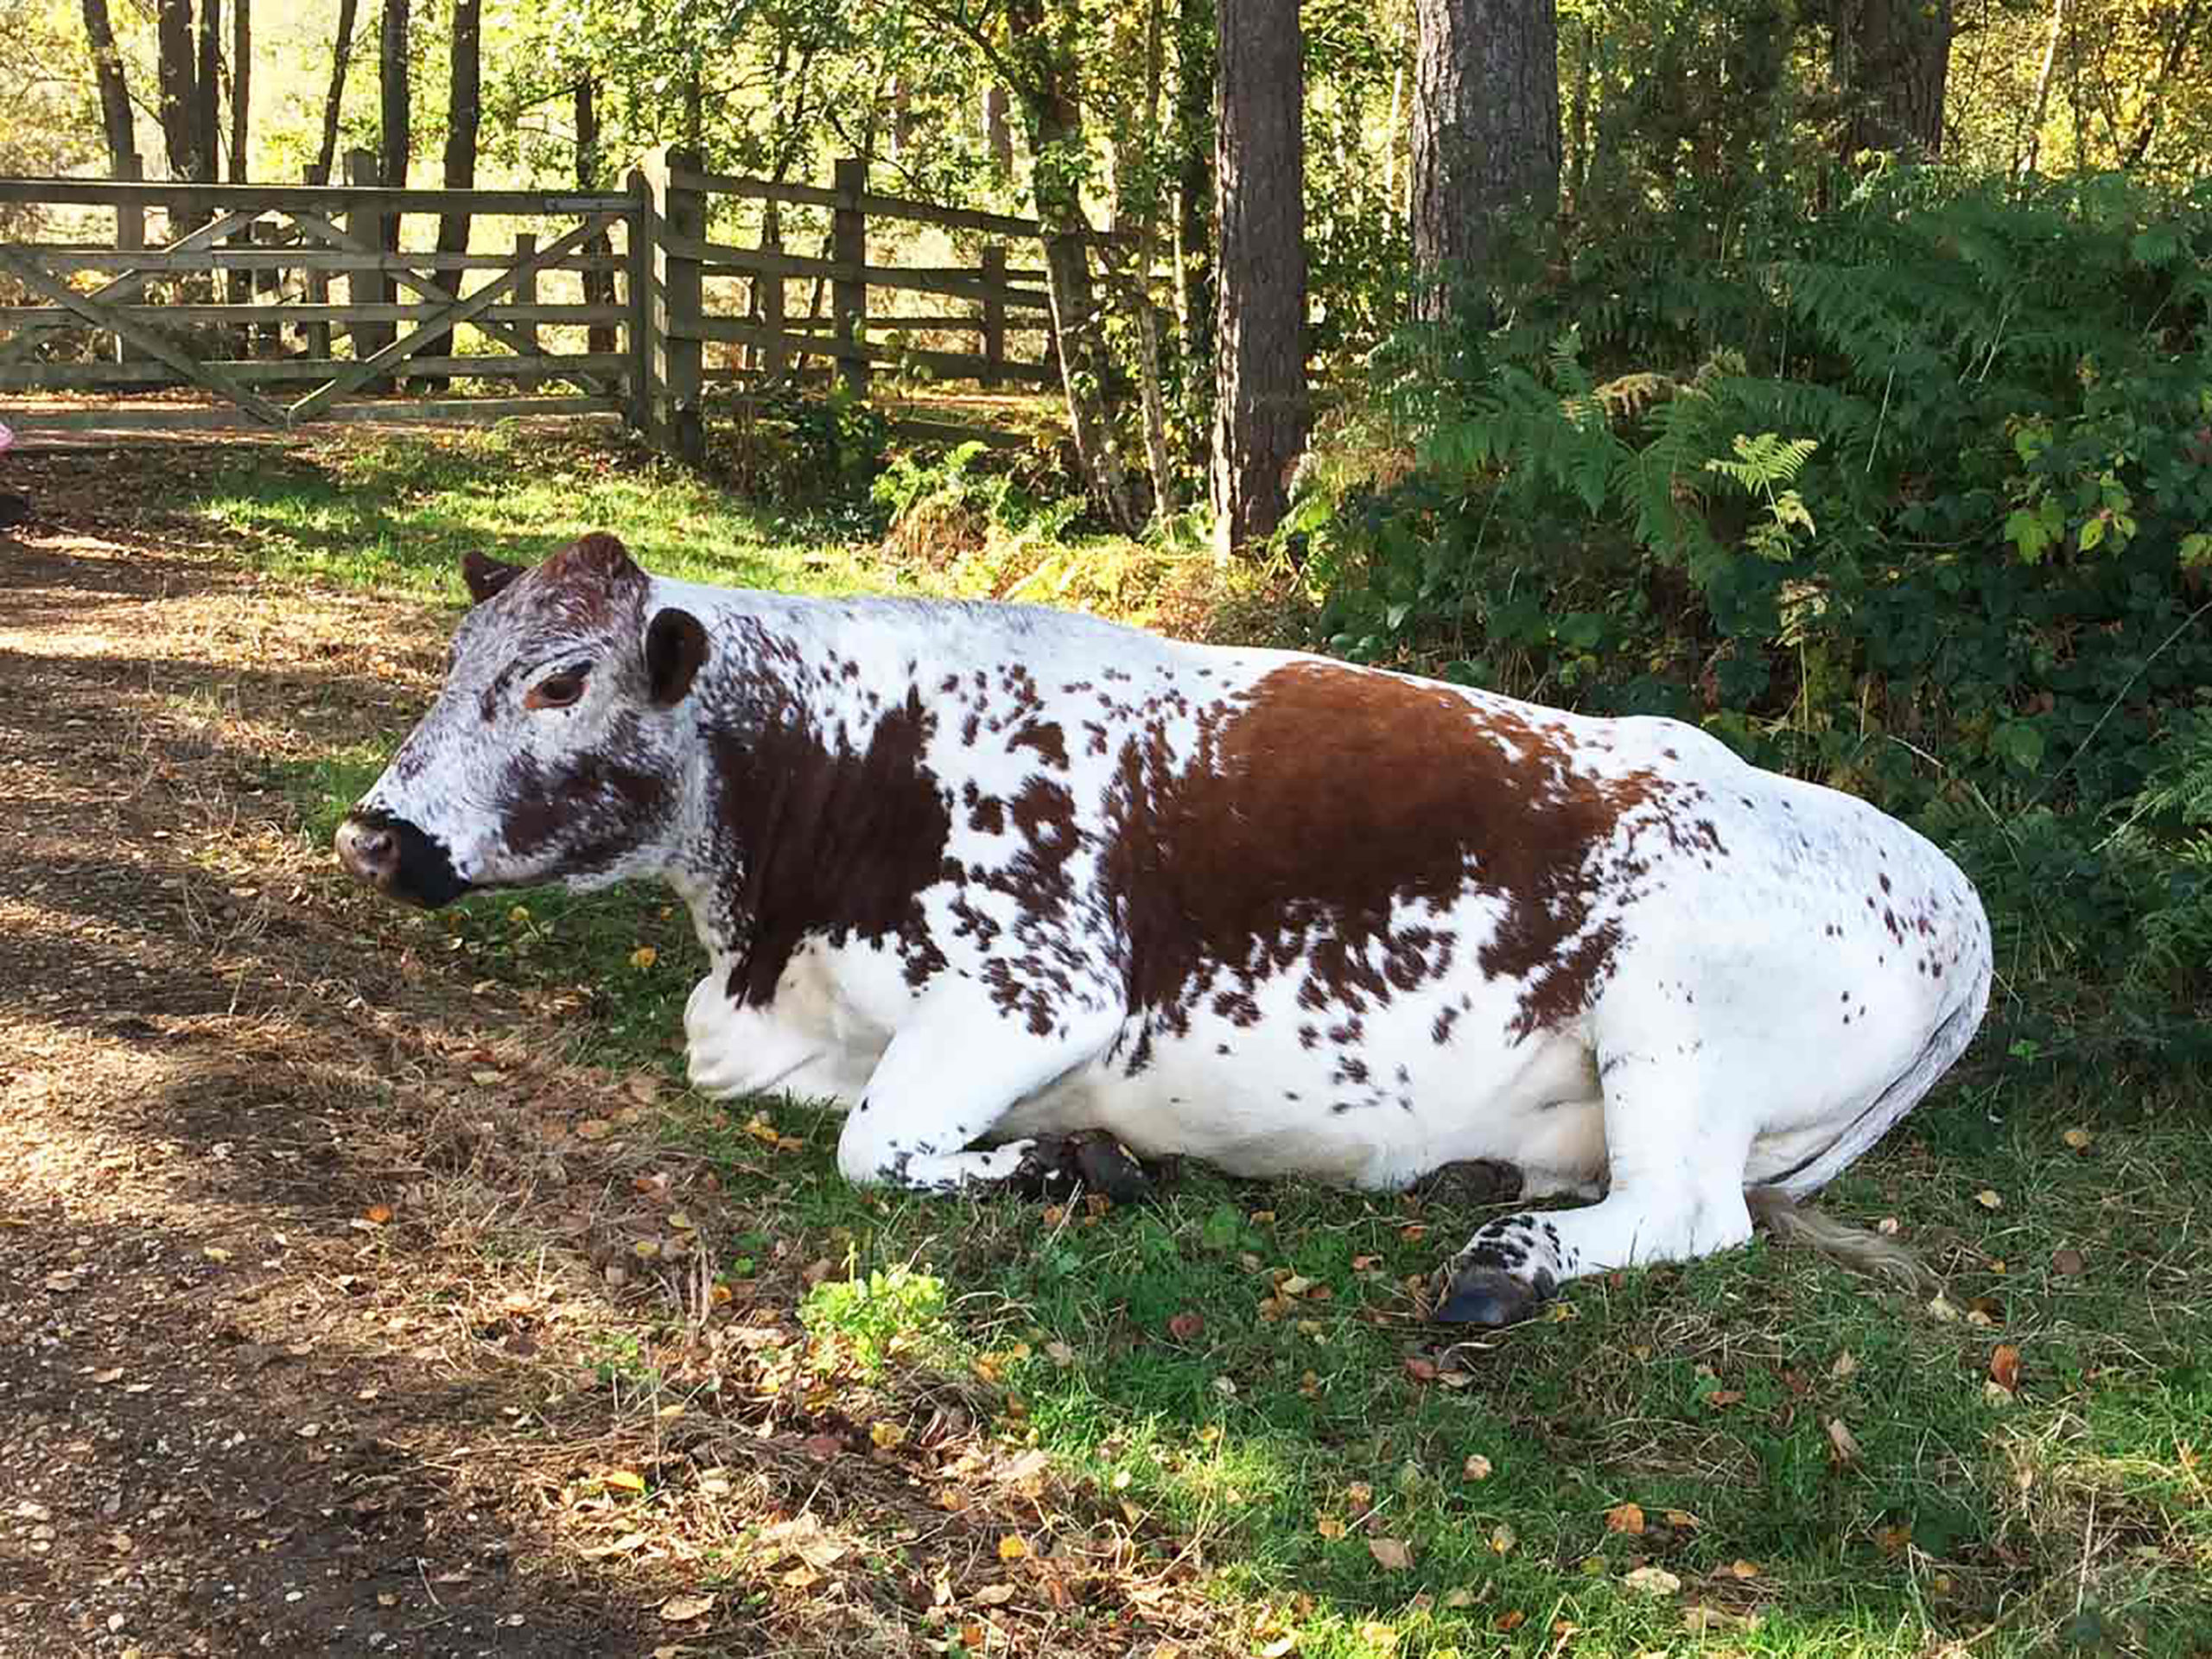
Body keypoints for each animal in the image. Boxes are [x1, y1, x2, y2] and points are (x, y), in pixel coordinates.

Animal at [336, 533, 1992, 1324]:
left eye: (559, 679)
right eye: (460, 655)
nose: (373, 833)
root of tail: (1955, 897)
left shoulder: (1036, 989)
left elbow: (874, 1147)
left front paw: (1071, 1164)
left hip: (1673, 1013)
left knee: (1690, 1214)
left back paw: (1504, 1263)